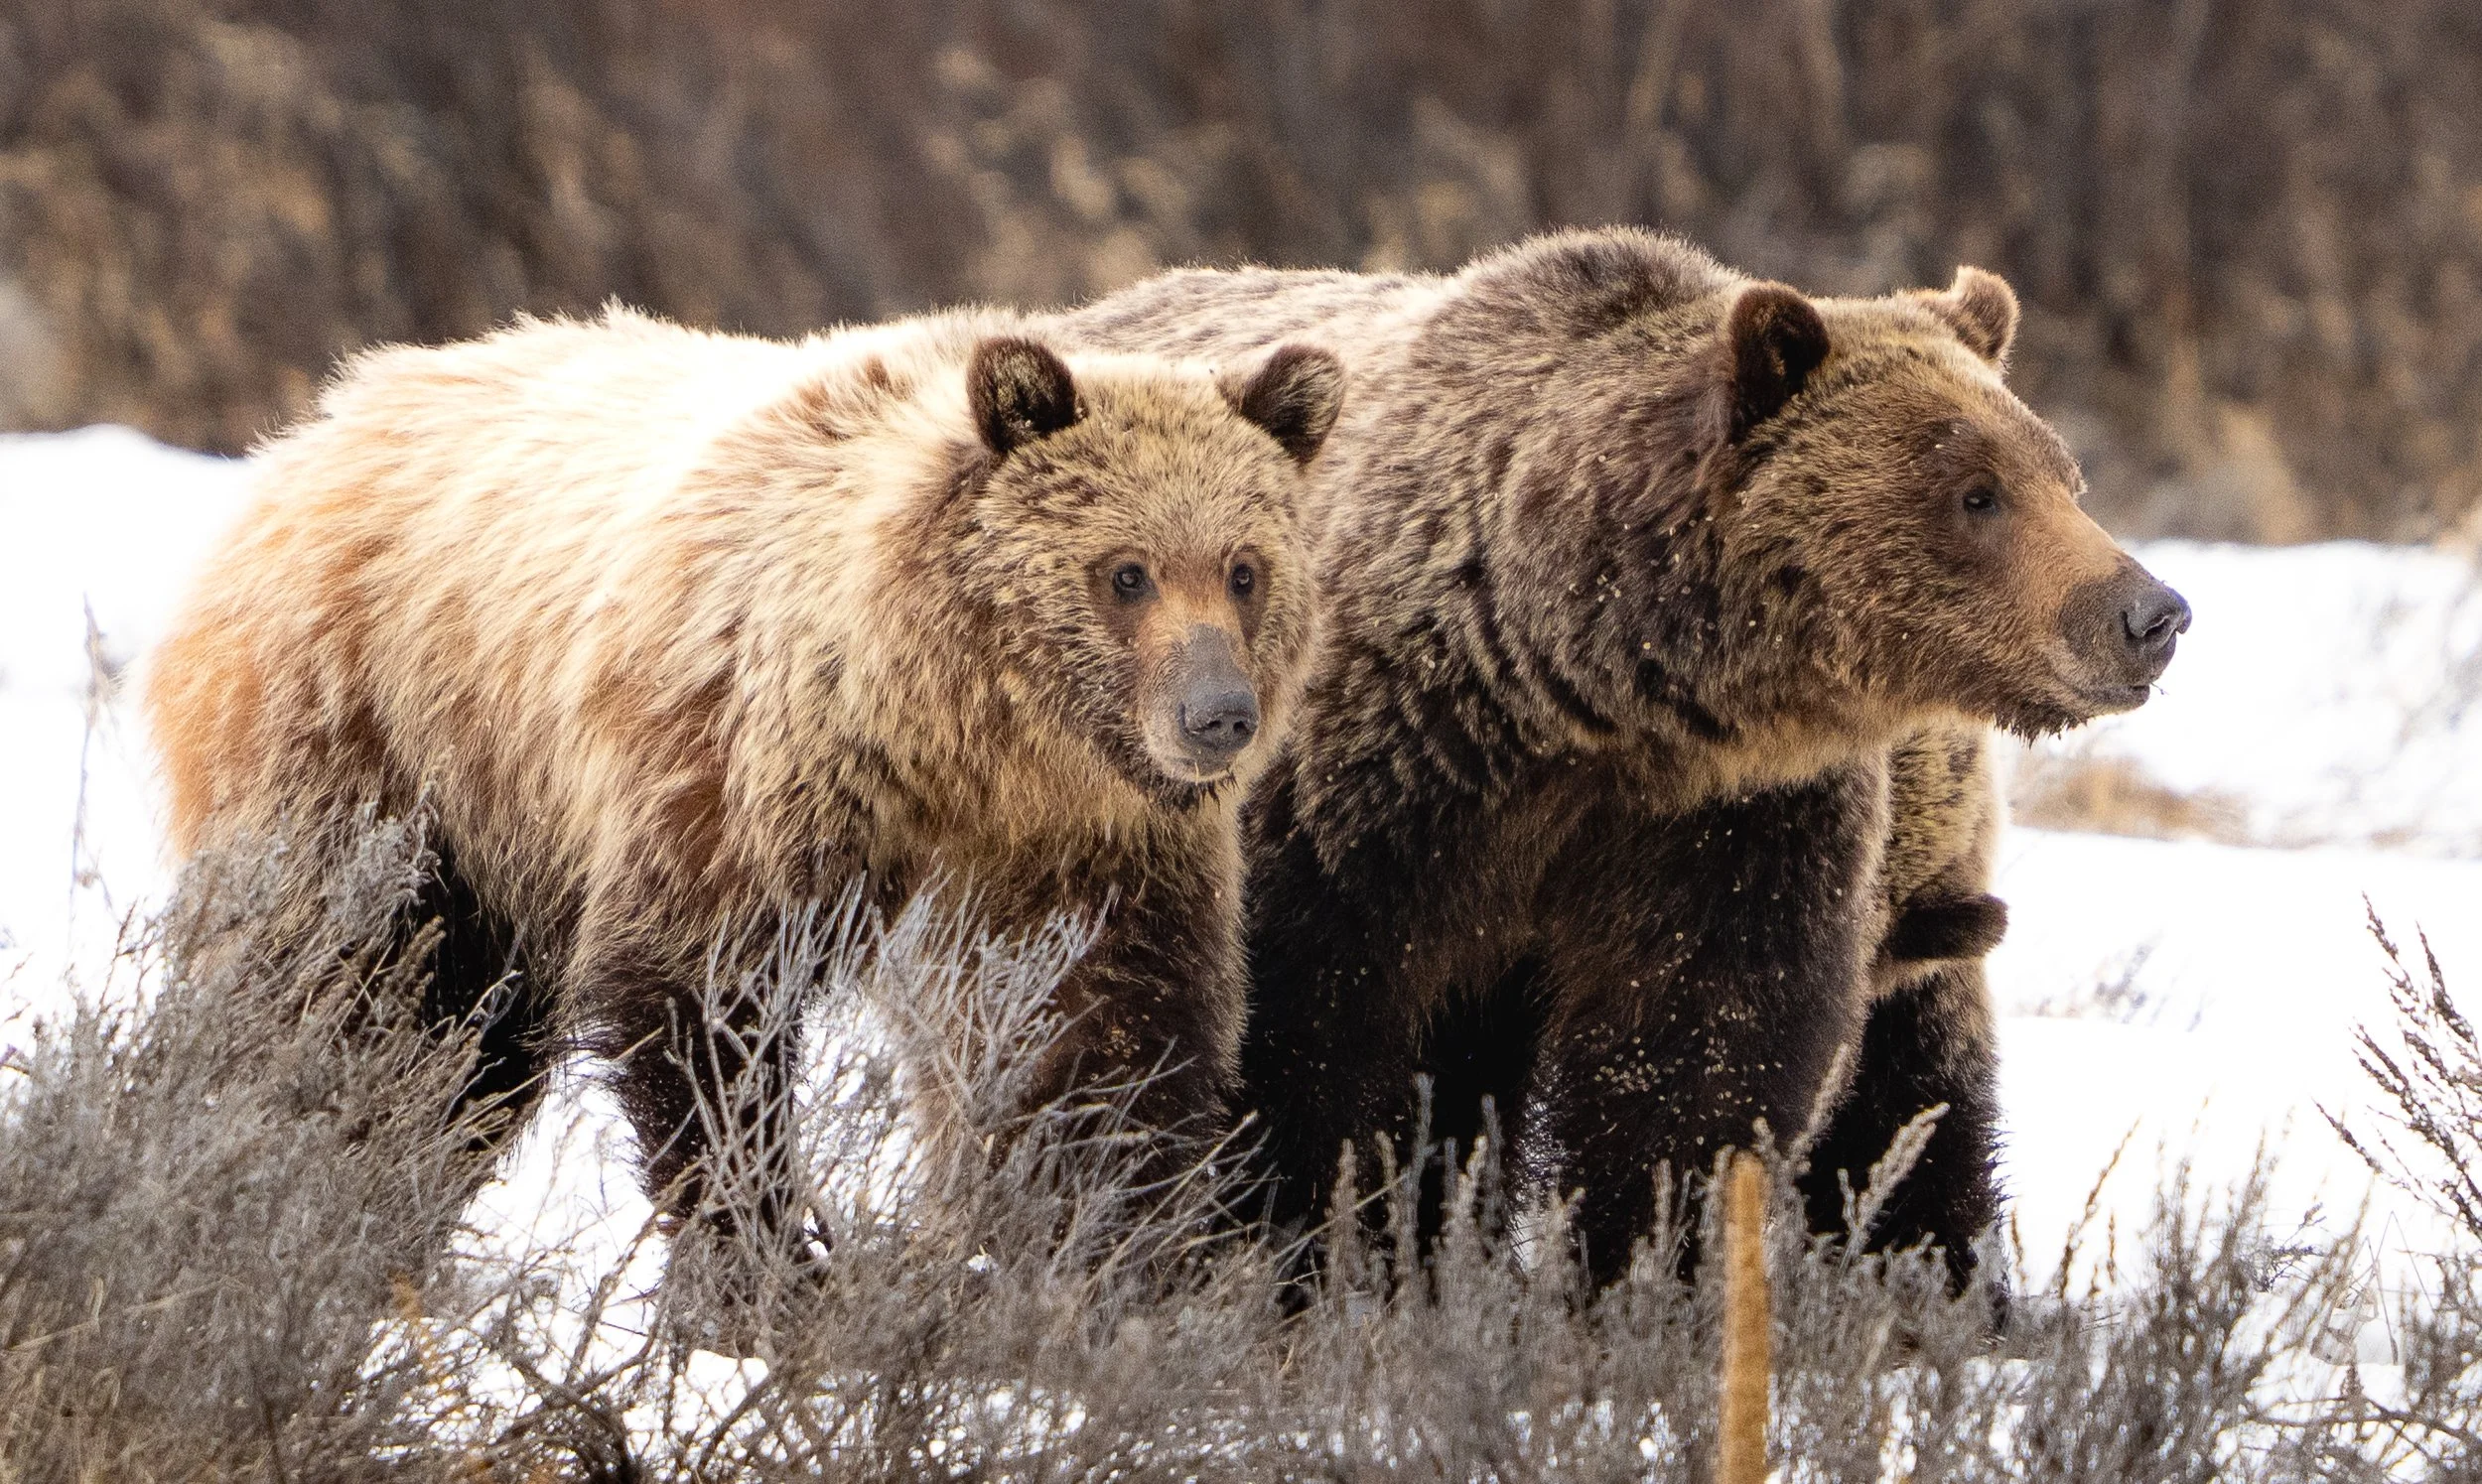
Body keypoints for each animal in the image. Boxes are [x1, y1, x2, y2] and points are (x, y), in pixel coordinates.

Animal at [146, 306, 1344, 1240]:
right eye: (1125, 572)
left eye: (1245, 568)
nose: (1217, 715)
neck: (970, 737)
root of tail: (319, 423)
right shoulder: (747, 763)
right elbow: (699, 1001)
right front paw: (770, 1260)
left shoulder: (1089, 850)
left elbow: (1107, 1039)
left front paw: (1115, 1256)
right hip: (381, 744)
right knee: (343, 991)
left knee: (459, 1056)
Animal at [1063, 228, 2189, 1288]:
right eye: (1975, 490)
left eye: (2065, 475)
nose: (2150, 613)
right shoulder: (1367, 786)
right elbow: (1307, 1027)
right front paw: (1308, 1247)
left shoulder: (1728, 820)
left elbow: (1698, 1060)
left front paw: (1641, 1269)